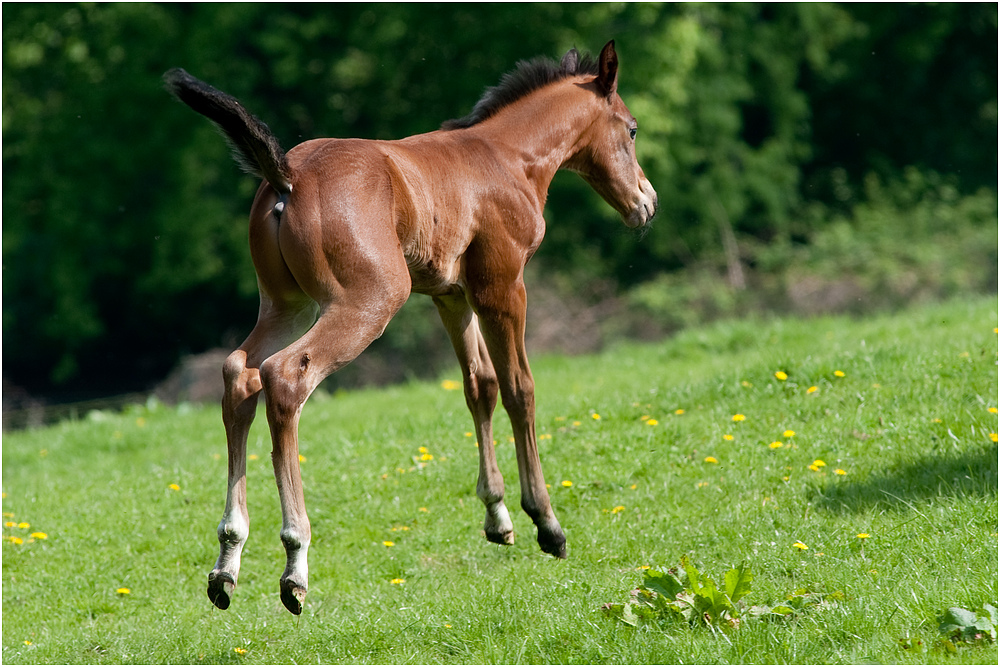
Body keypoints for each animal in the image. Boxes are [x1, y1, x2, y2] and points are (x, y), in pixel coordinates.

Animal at [166, 40, 656, 616]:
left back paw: (227, 560)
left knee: (239, 374)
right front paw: (546, 522)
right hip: (369, 299)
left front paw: (498, 517)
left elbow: (479, 387)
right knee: (284, 376)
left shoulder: (451, 294)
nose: (646, 202)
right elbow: (520, 388)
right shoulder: (502, 286)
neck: (507, 158)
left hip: (285, 305)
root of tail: (288, 174)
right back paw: (294, 562)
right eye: (632, 129)